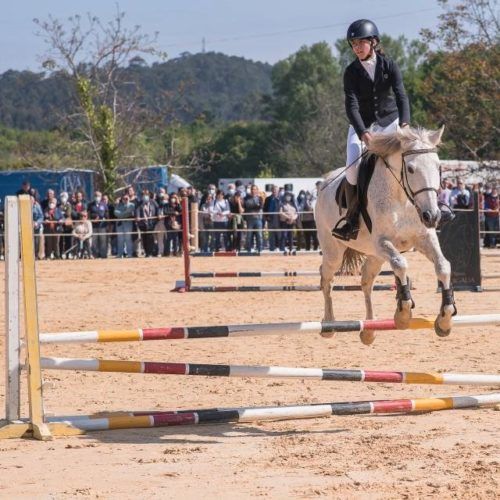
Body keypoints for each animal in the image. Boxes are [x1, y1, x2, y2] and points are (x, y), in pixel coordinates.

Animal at [316, 125, 458, 344]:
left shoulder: (424, 238)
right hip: (335, 252)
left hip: (375, 256)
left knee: (366, 281)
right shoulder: (382, 242)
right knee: (327, 279)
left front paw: (444, 319)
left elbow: (443, 266)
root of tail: (325, 183)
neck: (403, 198)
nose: (432, 216)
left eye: (438, 167)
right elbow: (401, 264)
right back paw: (329, 325)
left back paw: (369, 330)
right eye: (410, 169)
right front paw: (403, 313)